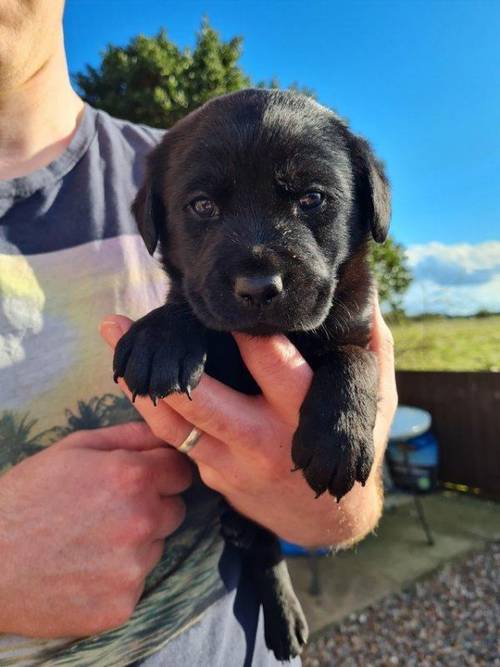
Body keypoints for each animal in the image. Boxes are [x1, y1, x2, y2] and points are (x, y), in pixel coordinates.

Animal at [113, 90, 390, 664]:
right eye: (202, 206)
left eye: (312, 199)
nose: (260, 285)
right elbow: (186, 299)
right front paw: (159, 337)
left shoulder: (360, 323)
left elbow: (354, 361)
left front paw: (338, 437)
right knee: (264, 549)